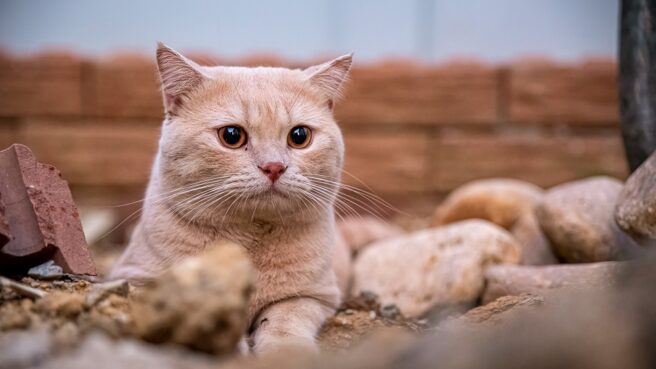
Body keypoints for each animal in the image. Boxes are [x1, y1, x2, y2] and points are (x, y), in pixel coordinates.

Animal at [109, 43, 354, 354]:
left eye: (299, 136)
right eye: (232, 135)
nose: (274, 166)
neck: (249, 241)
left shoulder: (314, 296)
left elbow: (285, 319)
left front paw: (285, 352)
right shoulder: (135, 280)